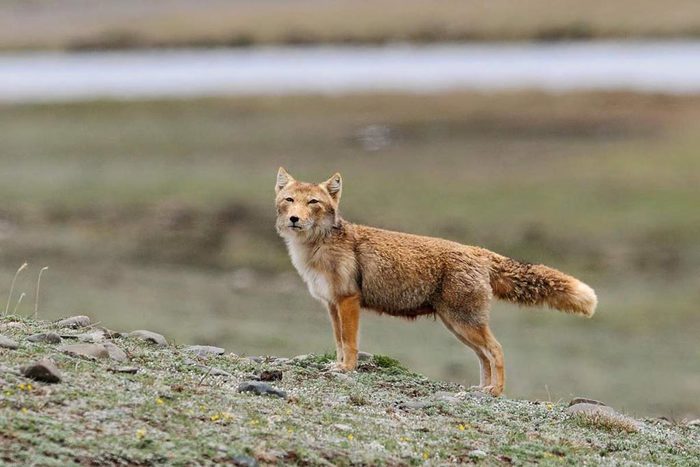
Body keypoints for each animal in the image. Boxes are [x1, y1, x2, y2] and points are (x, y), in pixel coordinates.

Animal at [274, 167, 596, 394]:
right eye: (289, 200)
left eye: (313, 202)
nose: (294, 219)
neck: (317, 247)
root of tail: (477, 250)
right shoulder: (332, 305)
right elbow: (339, 342)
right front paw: (338, 365)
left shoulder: (348, 301)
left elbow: (350, 343)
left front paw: (347, 369)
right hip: (458, 327)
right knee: (484, 356)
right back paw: (482, 389)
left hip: (464, 324)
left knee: (497, 350)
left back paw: (496, 391)